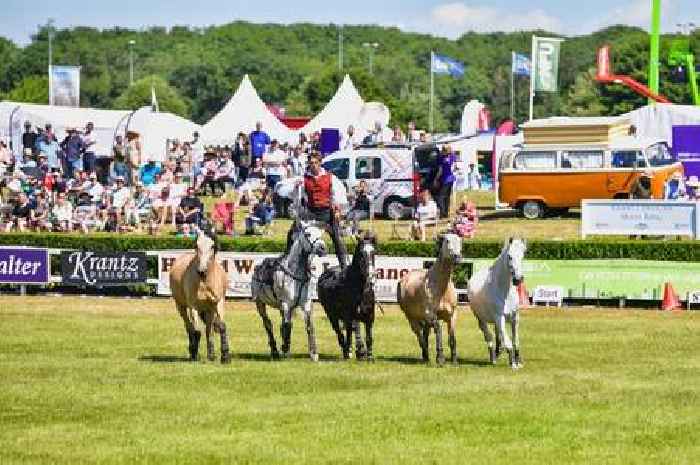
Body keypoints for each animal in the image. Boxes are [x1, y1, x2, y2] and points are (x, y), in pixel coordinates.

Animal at [170, 226, 231, 362]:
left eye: (212, 246)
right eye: (196, 245)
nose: (201, 271)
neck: (204, 282)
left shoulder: (218, 303)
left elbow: (221, 327)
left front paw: (225, 357)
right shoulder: (193, 306)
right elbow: (196, 331)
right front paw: (194, 353)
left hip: (209, 310)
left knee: (208, 329)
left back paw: (211, 355)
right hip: (181, 306)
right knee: (189, 327)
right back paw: (193, 351)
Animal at [252, 219, 328, 360]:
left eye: (320, 233)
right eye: (308, 234)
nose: (322, 248)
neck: (296, 274)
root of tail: (258, 267)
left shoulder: (306, 304)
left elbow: (309, 326)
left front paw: (313, 353)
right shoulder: (286, 304)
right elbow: (287, 326)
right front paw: (285, 350)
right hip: (260, 303)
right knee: (268, 324)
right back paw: (275, 351)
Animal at [396, 234, 462, 364]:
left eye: (460, 241)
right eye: (447, 241)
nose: (457, 257)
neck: (441, 289)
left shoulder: (452, 315)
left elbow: (452, 337)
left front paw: (454, 360)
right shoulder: (430, 314)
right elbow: (438, 329)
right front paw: (440, 358)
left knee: (425, 334)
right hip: (411, 318)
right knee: (420, 337)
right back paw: (426, 357)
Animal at [468, 237, 528, 368]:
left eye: (522, 255)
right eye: (510, 256)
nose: (517, 279)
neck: (504, 292)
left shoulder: (515, 318)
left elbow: (515, 341)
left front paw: (518, 361)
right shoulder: (500, 318)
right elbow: (508, 341)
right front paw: (513, 364)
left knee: (497, 336)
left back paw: (498, 352)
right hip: (481, 319)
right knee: (489, 337)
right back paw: (493, 358)